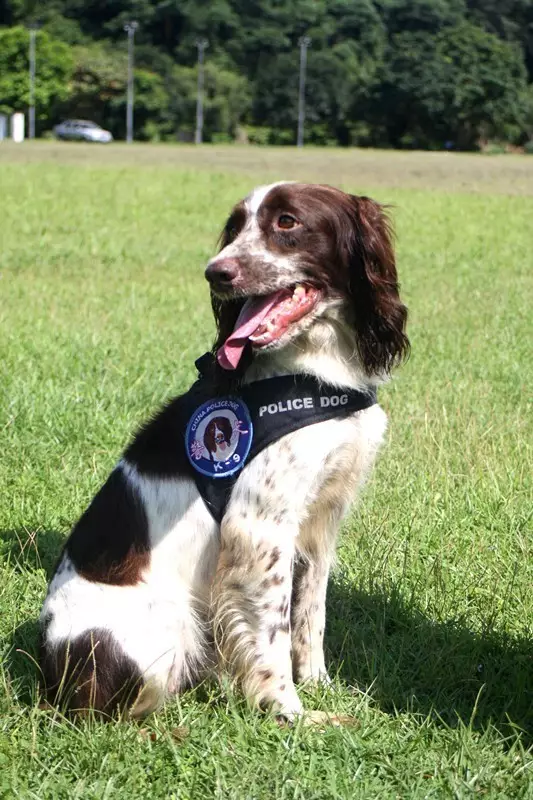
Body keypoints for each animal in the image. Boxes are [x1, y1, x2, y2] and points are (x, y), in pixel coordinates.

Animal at [39, 181, 410, 720]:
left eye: (286, 222)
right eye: (234, 227)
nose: (216, 272)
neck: (313, 368)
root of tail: (48, 671)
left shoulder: (321, 519)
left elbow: (311, 613)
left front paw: (318, 683)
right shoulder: (259, 527)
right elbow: (273, 631)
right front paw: (291, 713)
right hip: (166, 621)